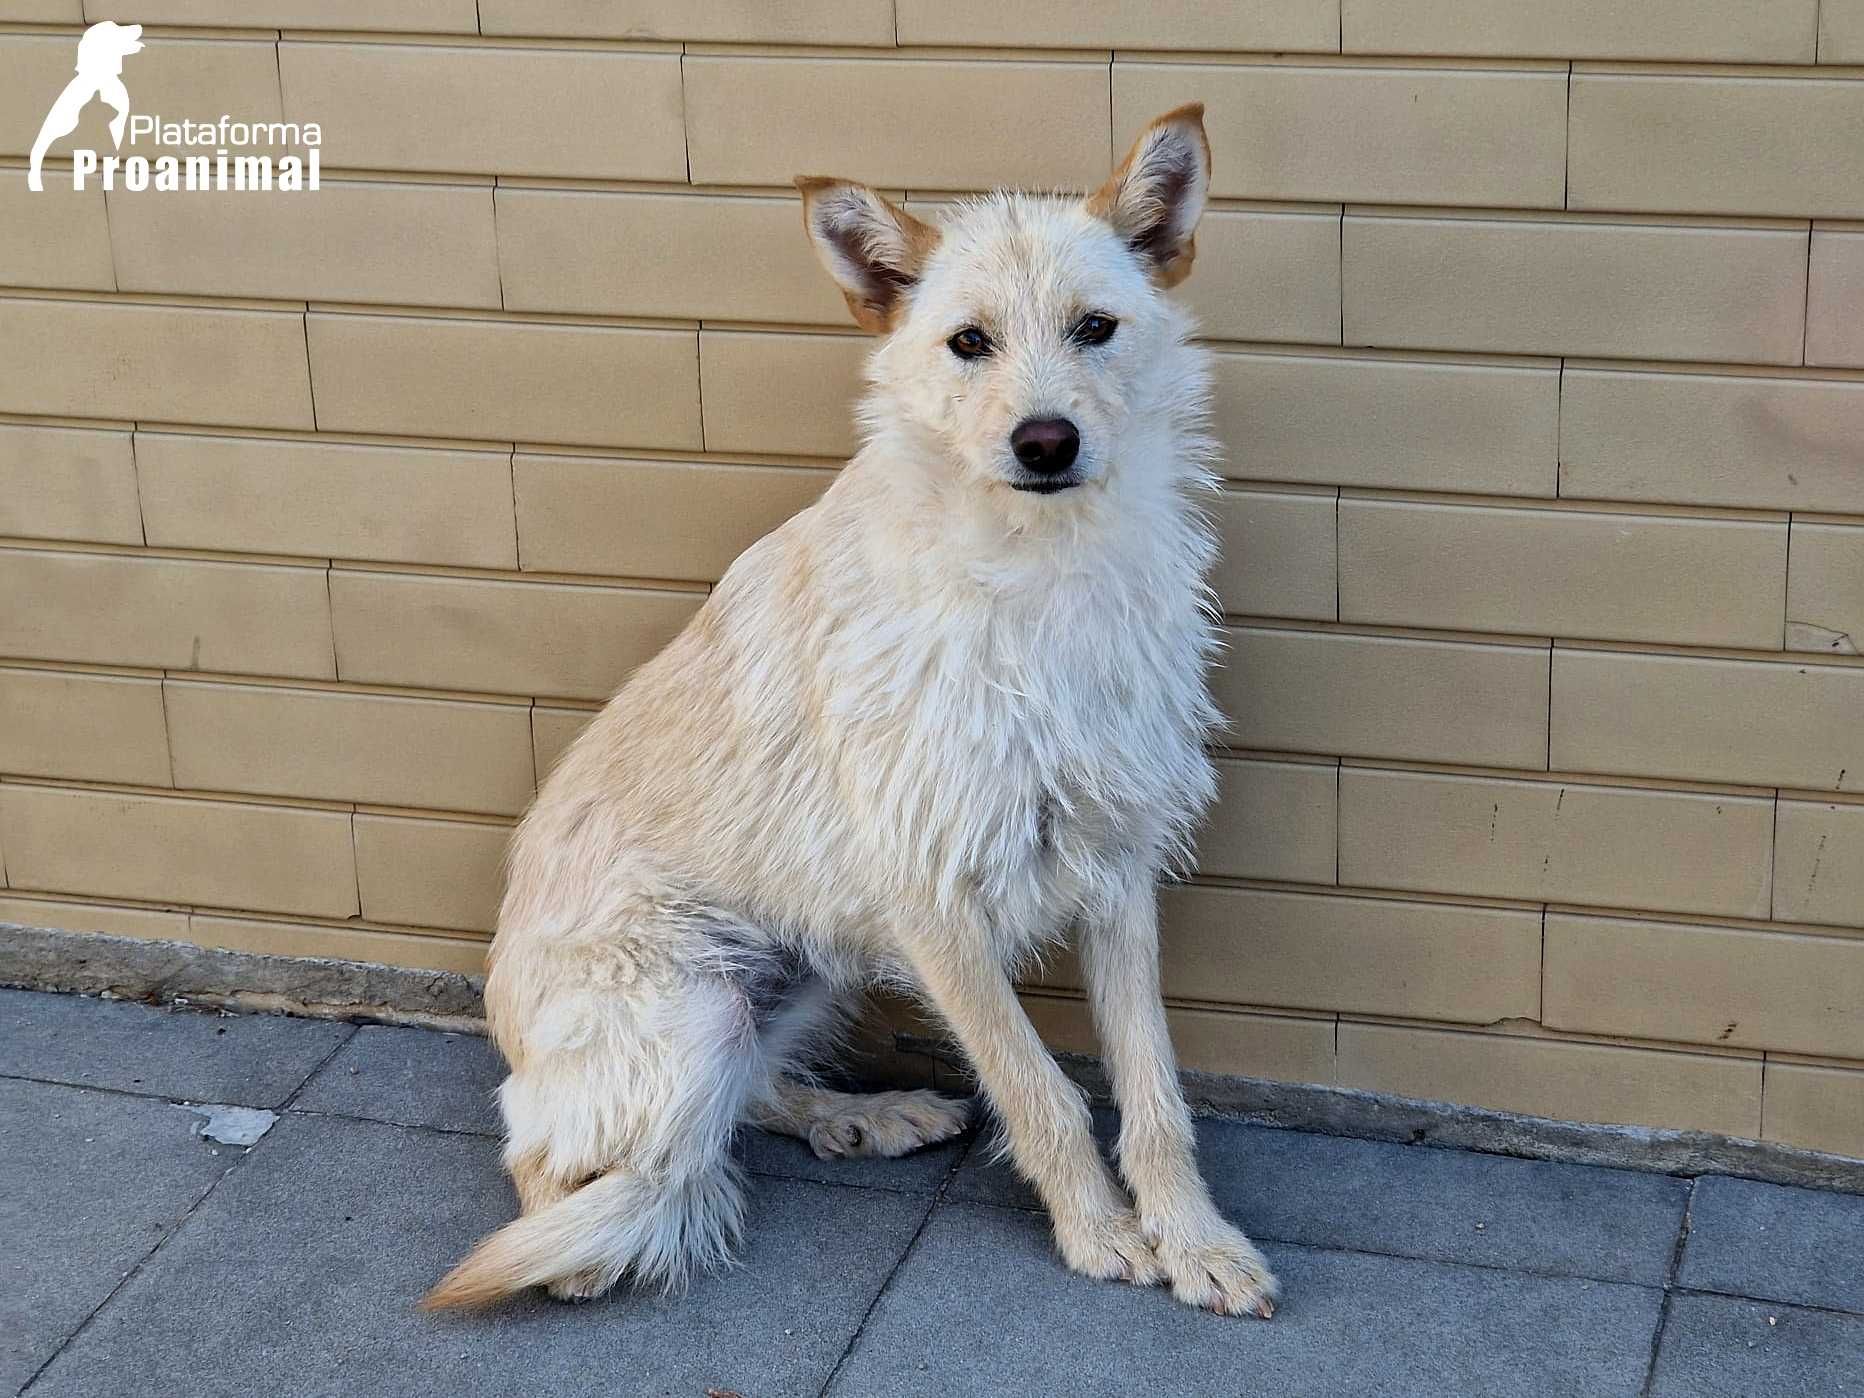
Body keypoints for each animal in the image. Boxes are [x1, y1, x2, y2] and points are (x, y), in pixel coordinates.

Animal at [426, 103, 1282, 1319]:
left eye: (1096, 327)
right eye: (968, 342)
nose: (1046, 442)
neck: (1036, 575)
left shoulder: (1116, 863)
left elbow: (1152, 1086)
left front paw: (1194, 1236)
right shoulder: (931, 893)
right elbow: (1040, 1088)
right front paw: (1097, 1232)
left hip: (798, 968)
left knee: (745, 1092)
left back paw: (859, 1115)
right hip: (687, 1002)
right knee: (573, 1168)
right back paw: (607, 1236)